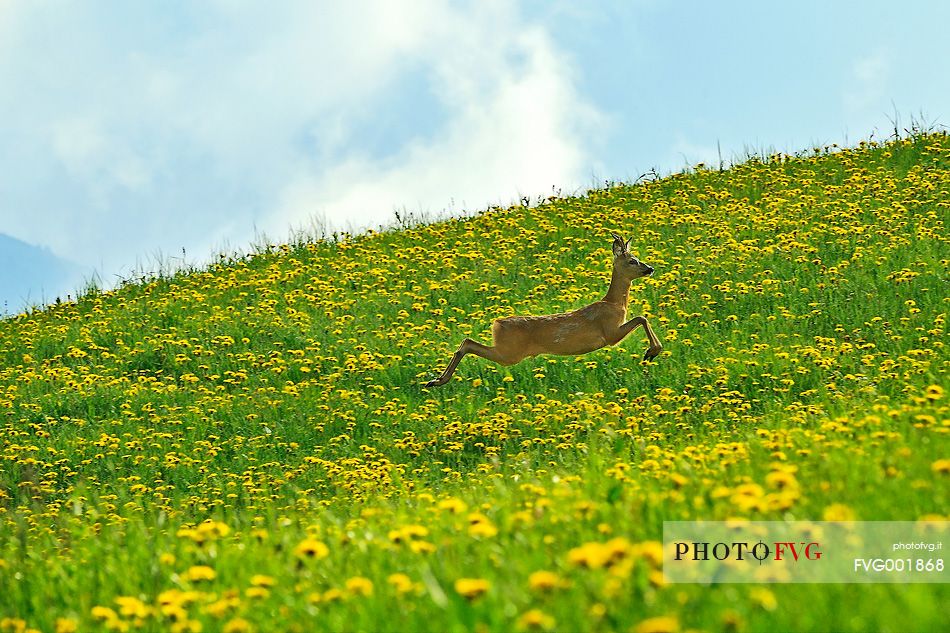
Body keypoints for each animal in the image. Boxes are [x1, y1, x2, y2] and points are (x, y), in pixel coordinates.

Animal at [424, 235, 660, 388]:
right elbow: (641, 317)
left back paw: (435, 381)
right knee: (468, 344)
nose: (650, 269)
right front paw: (651, 352)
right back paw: (437, 381)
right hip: (509, 352)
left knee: (465, 342)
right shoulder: (609, 333)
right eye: (632, 260)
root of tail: (497, 323)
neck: (614, 304)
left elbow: (642, 317)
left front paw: (651, 352)